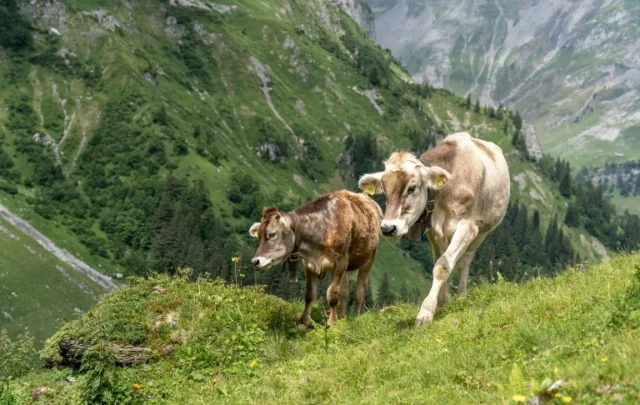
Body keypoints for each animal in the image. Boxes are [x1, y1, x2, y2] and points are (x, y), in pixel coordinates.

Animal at [249, 190, 382, 328]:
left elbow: (332, 295)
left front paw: (332, 323)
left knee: (359, 291)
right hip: (347, 267)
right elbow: (309, 294)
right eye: (258, 236)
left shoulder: (340, 261)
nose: (255, 261)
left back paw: (354, 317)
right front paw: (303, 322)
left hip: (369, 258)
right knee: (344, 292)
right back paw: (342, 317)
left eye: (272, 234)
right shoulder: (308, 263)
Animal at [358, 132, 510, 325]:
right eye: (384, 190)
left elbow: (442, 266)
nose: (388, 228)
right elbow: (439, 261)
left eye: (411, 188)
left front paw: (426, 311)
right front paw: (442, 302)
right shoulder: (432, 232)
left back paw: (461, 297)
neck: (444, 193)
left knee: (465, 261)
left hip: (482, 231)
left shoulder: (467, 227)